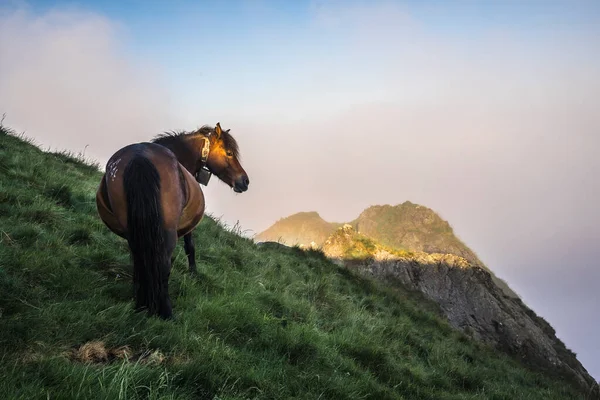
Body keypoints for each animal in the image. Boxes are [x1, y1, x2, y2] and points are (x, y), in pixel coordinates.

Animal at [95, 122, 248, 318]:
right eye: (229, 153)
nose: (244, 181)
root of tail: (139, 157)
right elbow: (190, 246)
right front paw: (193, 273)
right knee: (163, 264)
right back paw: (166, 312)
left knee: (141, 260)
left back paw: (142, 304)